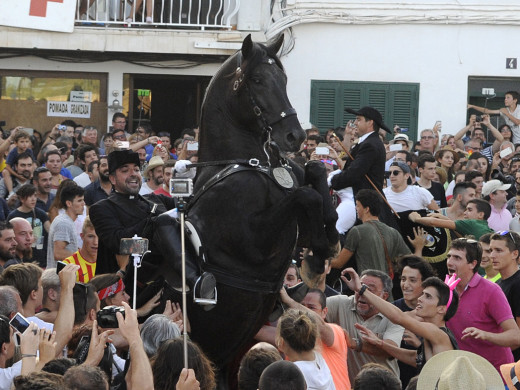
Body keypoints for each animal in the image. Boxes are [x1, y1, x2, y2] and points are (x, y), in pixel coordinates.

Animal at [154, 33, 338, 380]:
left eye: (283, 79)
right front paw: (319, 254)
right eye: (257, 80)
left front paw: (328, 241)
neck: (249, 164)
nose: (294, 136)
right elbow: (305, 196)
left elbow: (316, 173)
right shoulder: (252, 241)